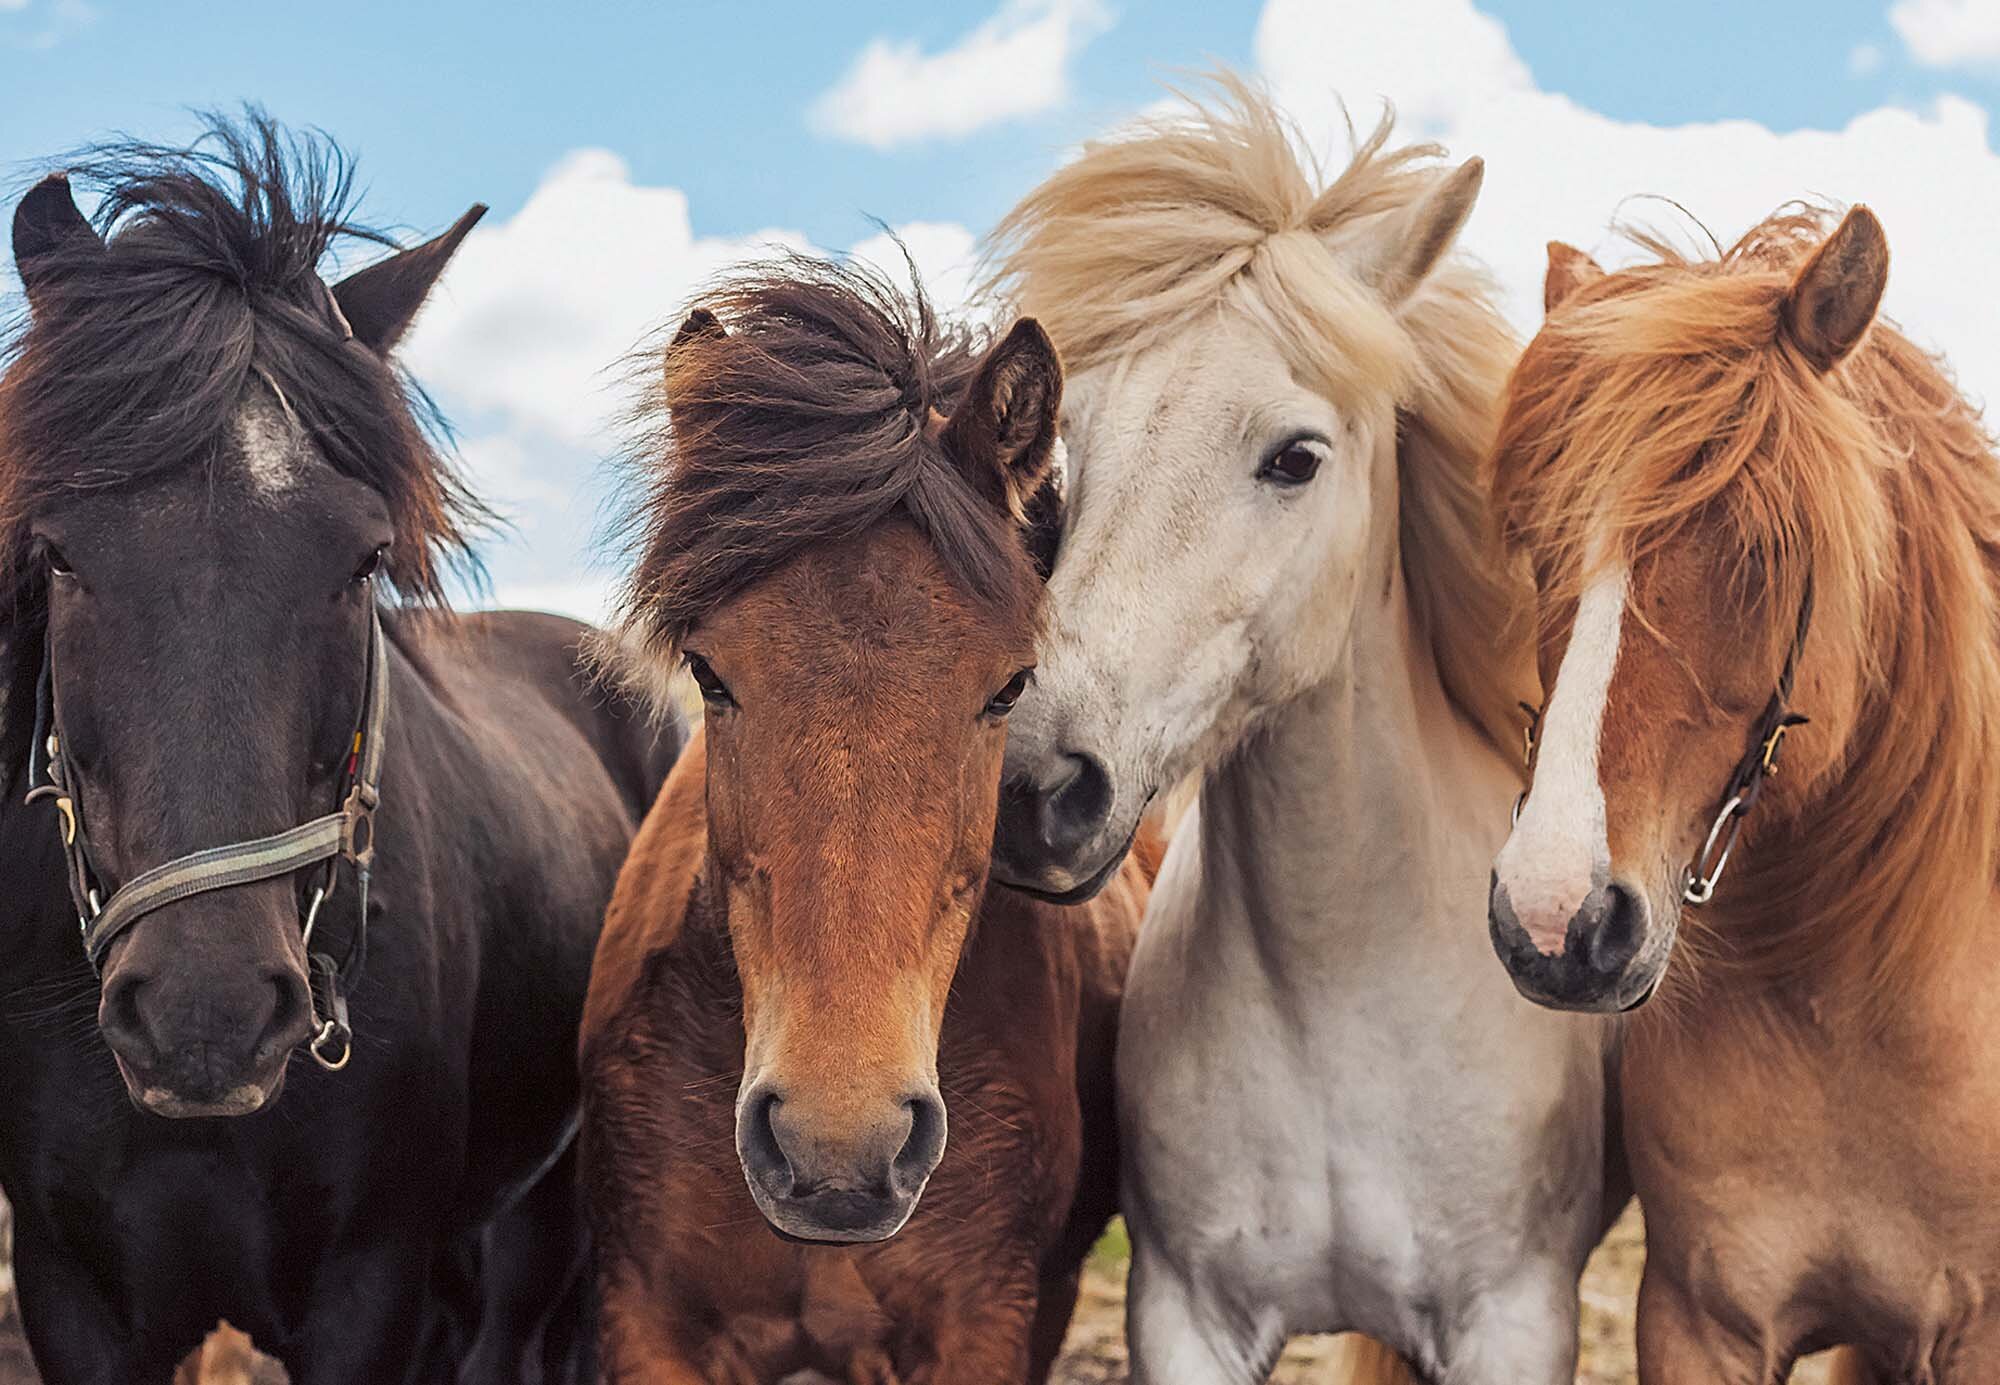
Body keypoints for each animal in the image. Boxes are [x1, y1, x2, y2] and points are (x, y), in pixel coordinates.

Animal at [981, 75, 1624, 1383]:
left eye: (1294, 457)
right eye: (1072, 453)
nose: (1035, 792)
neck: (1337, 999)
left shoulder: (1512, 1319)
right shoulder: (1182, 1314)